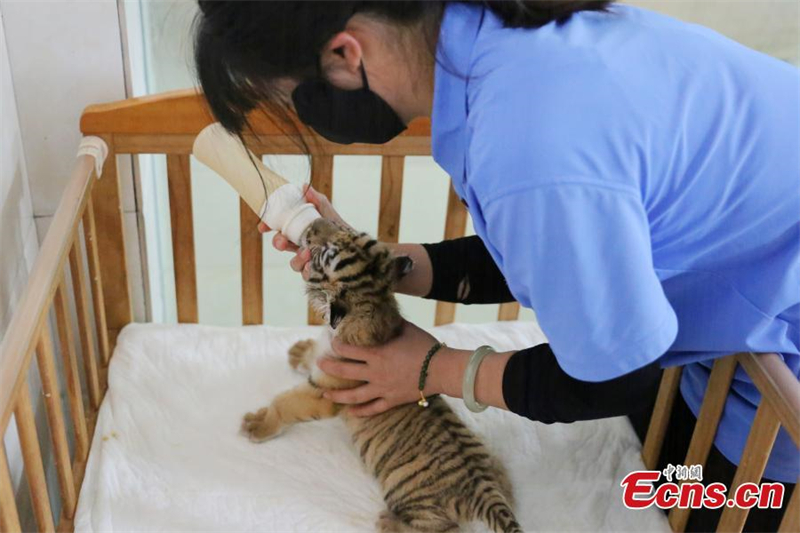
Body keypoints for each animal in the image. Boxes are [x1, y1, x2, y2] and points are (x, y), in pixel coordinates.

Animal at [241, 218, 522, 533]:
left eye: (324, 255)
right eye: (350, 233)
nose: (315, 222)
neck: (373, 305)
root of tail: (483, 490)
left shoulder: (325, 392)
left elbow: (284, 402)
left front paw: (258, 425)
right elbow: (314, 352)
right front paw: (299, 351)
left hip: (415, 502)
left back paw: (388, 522)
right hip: (499, 471)